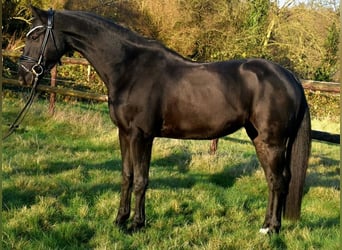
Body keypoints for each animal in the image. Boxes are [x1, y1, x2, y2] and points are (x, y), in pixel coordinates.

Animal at [19, 7, 312, 234]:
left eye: (35, 35)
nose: (23, 73)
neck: (130, 68)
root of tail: (289, 77)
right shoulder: (125, 134)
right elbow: (127, 176)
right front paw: (119, 220)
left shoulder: (142, 135)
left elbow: (141, 179)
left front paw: (136, 224)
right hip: (260, 139)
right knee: (275, 180)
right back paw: (267, 224)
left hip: (272, 142)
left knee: (278, 181)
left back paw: (271, 229)